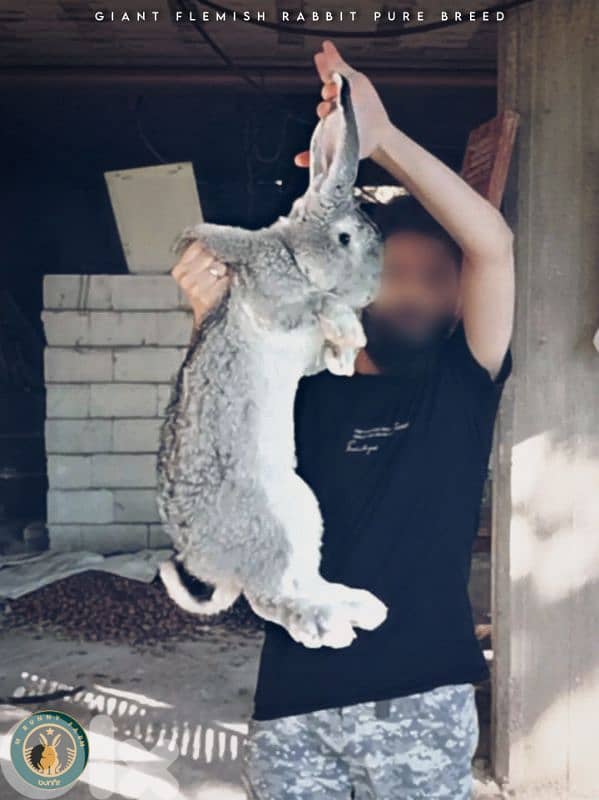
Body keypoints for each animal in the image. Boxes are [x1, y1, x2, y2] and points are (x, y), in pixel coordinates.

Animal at [156, 73, 387, 649]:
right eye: (345, 238)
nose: (370, 294)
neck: (295, 256)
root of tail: (217, 569)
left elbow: (323, 356)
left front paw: (345, 355)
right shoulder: (274, 300)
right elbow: (315, 303)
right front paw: (349, 330)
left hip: (304, 512)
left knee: (301, 579)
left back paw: (359, 607)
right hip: (270, 527)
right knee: (269, 597)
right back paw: (326, 627)